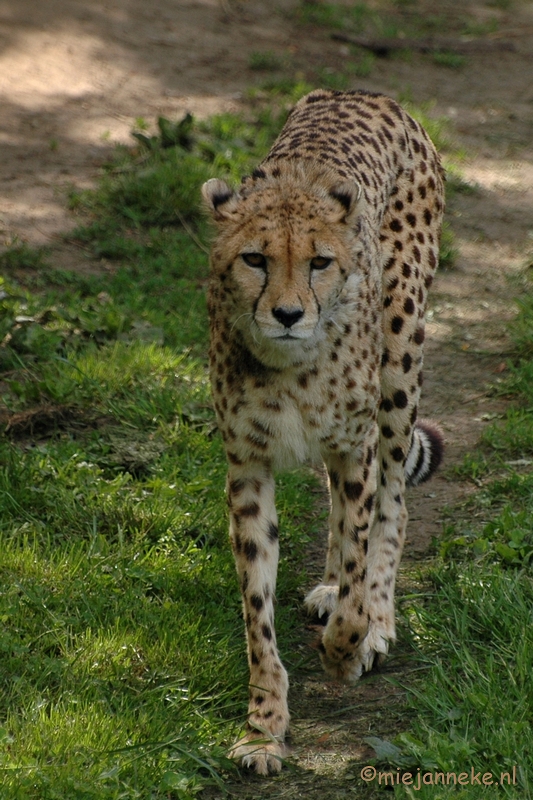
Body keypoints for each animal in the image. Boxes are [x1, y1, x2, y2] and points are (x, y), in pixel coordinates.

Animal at [202, 87, 442, 776]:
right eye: (255, 259)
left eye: (320, 262)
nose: (287, 314)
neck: (290, 366)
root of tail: (360, 93)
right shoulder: (248, 468)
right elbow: (257, 612)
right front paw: (263, 728)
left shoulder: (354, 446)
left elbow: (363, 558)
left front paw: (347, 647)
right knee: (340, 507)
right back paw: (332, 588)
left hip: (398, 363)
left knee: (392, 503)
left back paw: (377, 619)